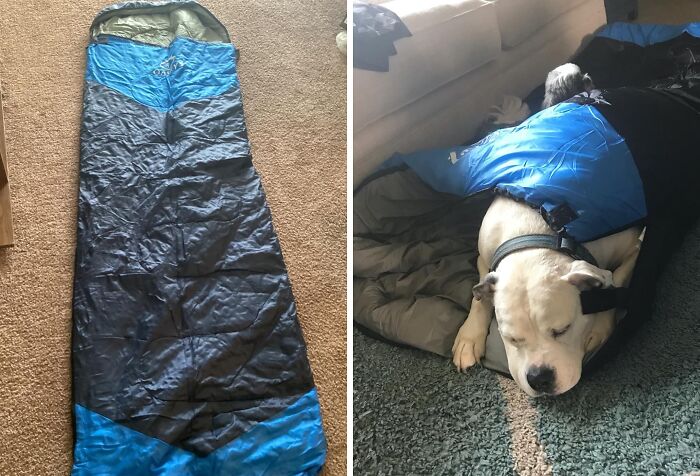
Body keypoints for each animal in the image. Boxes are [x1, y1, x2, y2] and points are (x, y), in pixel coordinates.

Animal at [452, 195, 644, 396]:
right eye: (512, 339)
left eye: (563, 329)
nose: (539, 378)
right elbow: (479, 297)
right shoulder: (484, 259)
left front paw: (599, 327)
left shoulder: (635, 246)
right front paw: (470, 337)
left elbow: (618, 279)